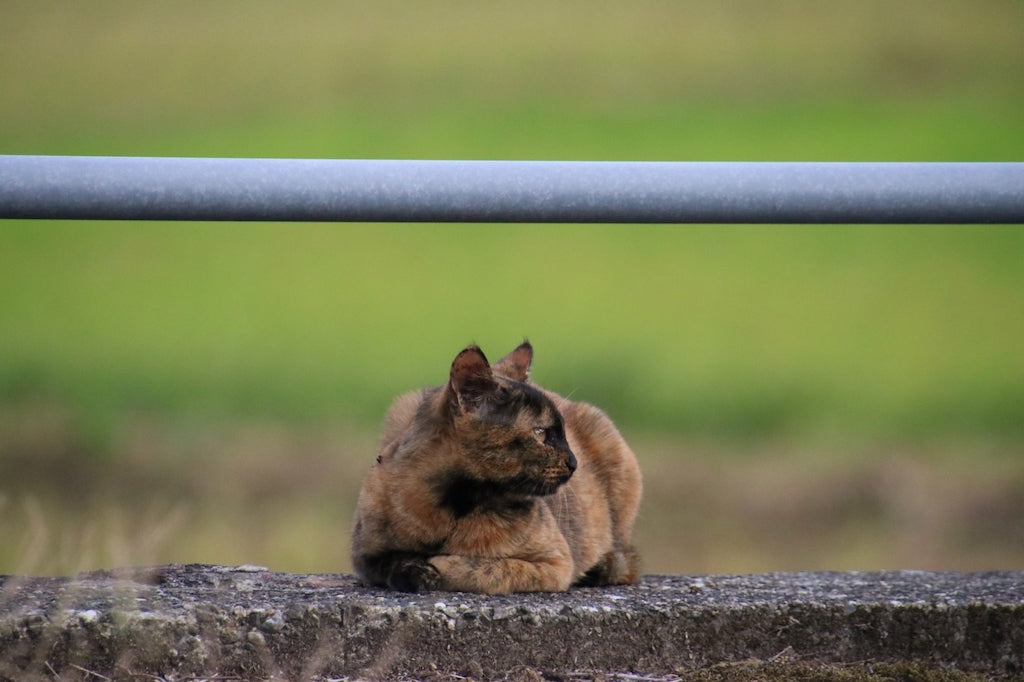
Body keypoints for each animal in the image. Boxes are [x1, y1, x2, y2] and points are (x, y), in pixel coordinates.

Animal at [352, 339, 638, 589]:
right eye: (540, 432)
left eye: (562, 432)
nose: (574, 462)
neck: (456, 508)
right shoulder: (364, 553)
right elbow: (392, 561)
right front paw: (416, 570)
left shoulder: (556, 563)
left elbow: (488, 568)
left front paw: (440, 566)